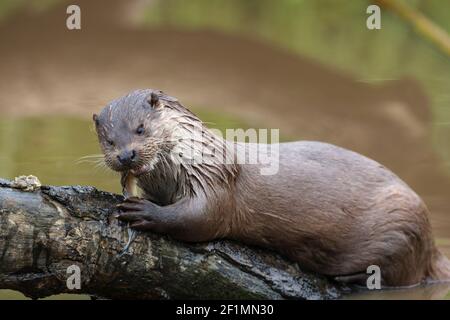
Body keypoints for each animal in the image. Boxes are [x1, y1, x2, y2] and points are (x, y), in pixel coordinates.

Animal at [92, 89, 450, 286]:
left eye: (140, 128)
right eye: (109, 141)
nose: (126, 155)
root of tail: (432, 242)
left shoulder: (214, 178)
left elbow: (200, 218)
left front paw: (143, 210)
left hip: (402, 222)